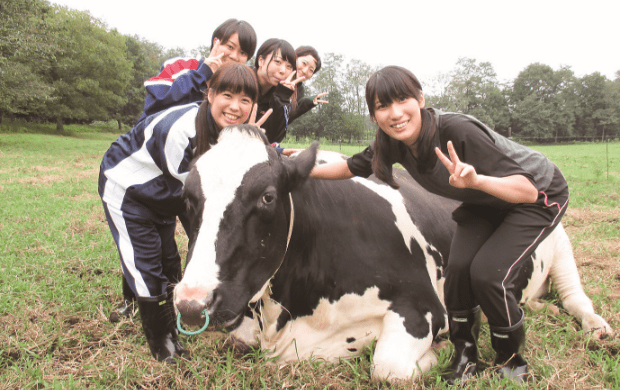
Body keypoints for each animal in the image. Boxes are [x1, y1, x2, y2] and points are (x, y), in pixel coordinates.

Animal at [172, 125, 612, 384]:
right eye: (187, 199)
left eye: (266, 197)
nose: (192, 303)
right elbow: (237, 340)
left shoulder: (423, 307)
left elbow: (389, 368)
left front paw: (440, 353)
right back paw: (540, 308)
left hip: (559, 239)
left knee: (576, 297)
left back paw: (597, 329)